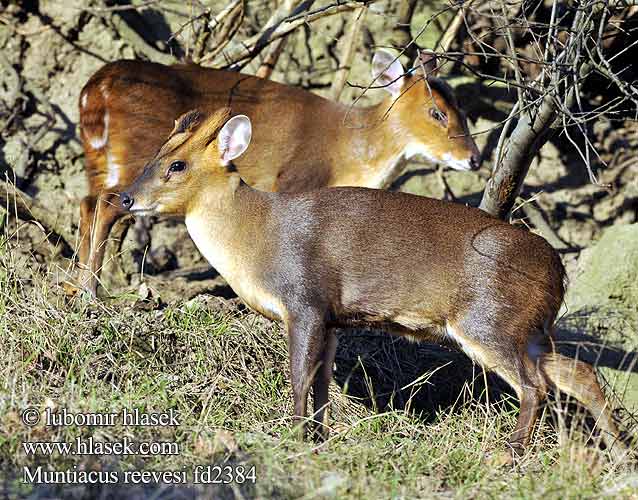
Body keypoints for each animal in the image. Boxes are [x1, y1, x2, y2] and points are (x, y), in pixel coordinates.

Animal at [76, 48, 480, 294]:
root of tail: (94, 88)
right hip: (135, 153)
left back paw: (76, 285)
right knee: (110, 204)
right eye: (437, 112)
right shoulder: (293, 178)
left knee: (87, 203)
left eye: (462, 107)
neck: (349, 151)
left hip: (99, 158)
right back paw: (92, 291)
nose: (475, 159)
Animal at [120, 108, 632, 460]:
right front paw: (318, 438)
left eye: (177, 165)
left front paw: (293, 436)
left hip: (488, 321)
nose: (125, 197)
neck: (257, 235)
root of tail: (558, 269)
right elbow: (322, 383)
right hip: (527, 330)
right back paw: (620, 454)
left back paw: (510, 454)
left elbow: (300, 377)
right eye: (155, 155)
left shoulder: (305, 299)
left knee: (535, 386)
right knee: (580, 374)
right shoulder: (332, 319)